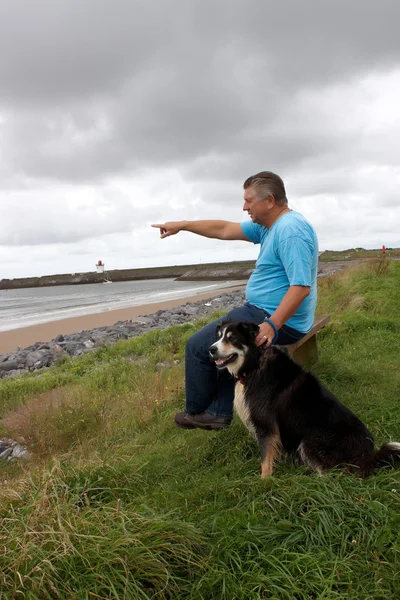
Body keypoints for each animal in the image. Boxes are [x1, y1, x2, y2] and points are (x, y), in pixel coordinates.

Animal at [209, 322, 400, 480]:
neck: (255, 363)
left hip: (310, 440)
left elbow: (265, 458)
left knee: (330, 475)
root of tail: (368, 454)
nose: (211, 349)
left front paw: (263, 482)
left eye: (232, 338)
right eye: (218, 336)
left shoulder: (266, 424)